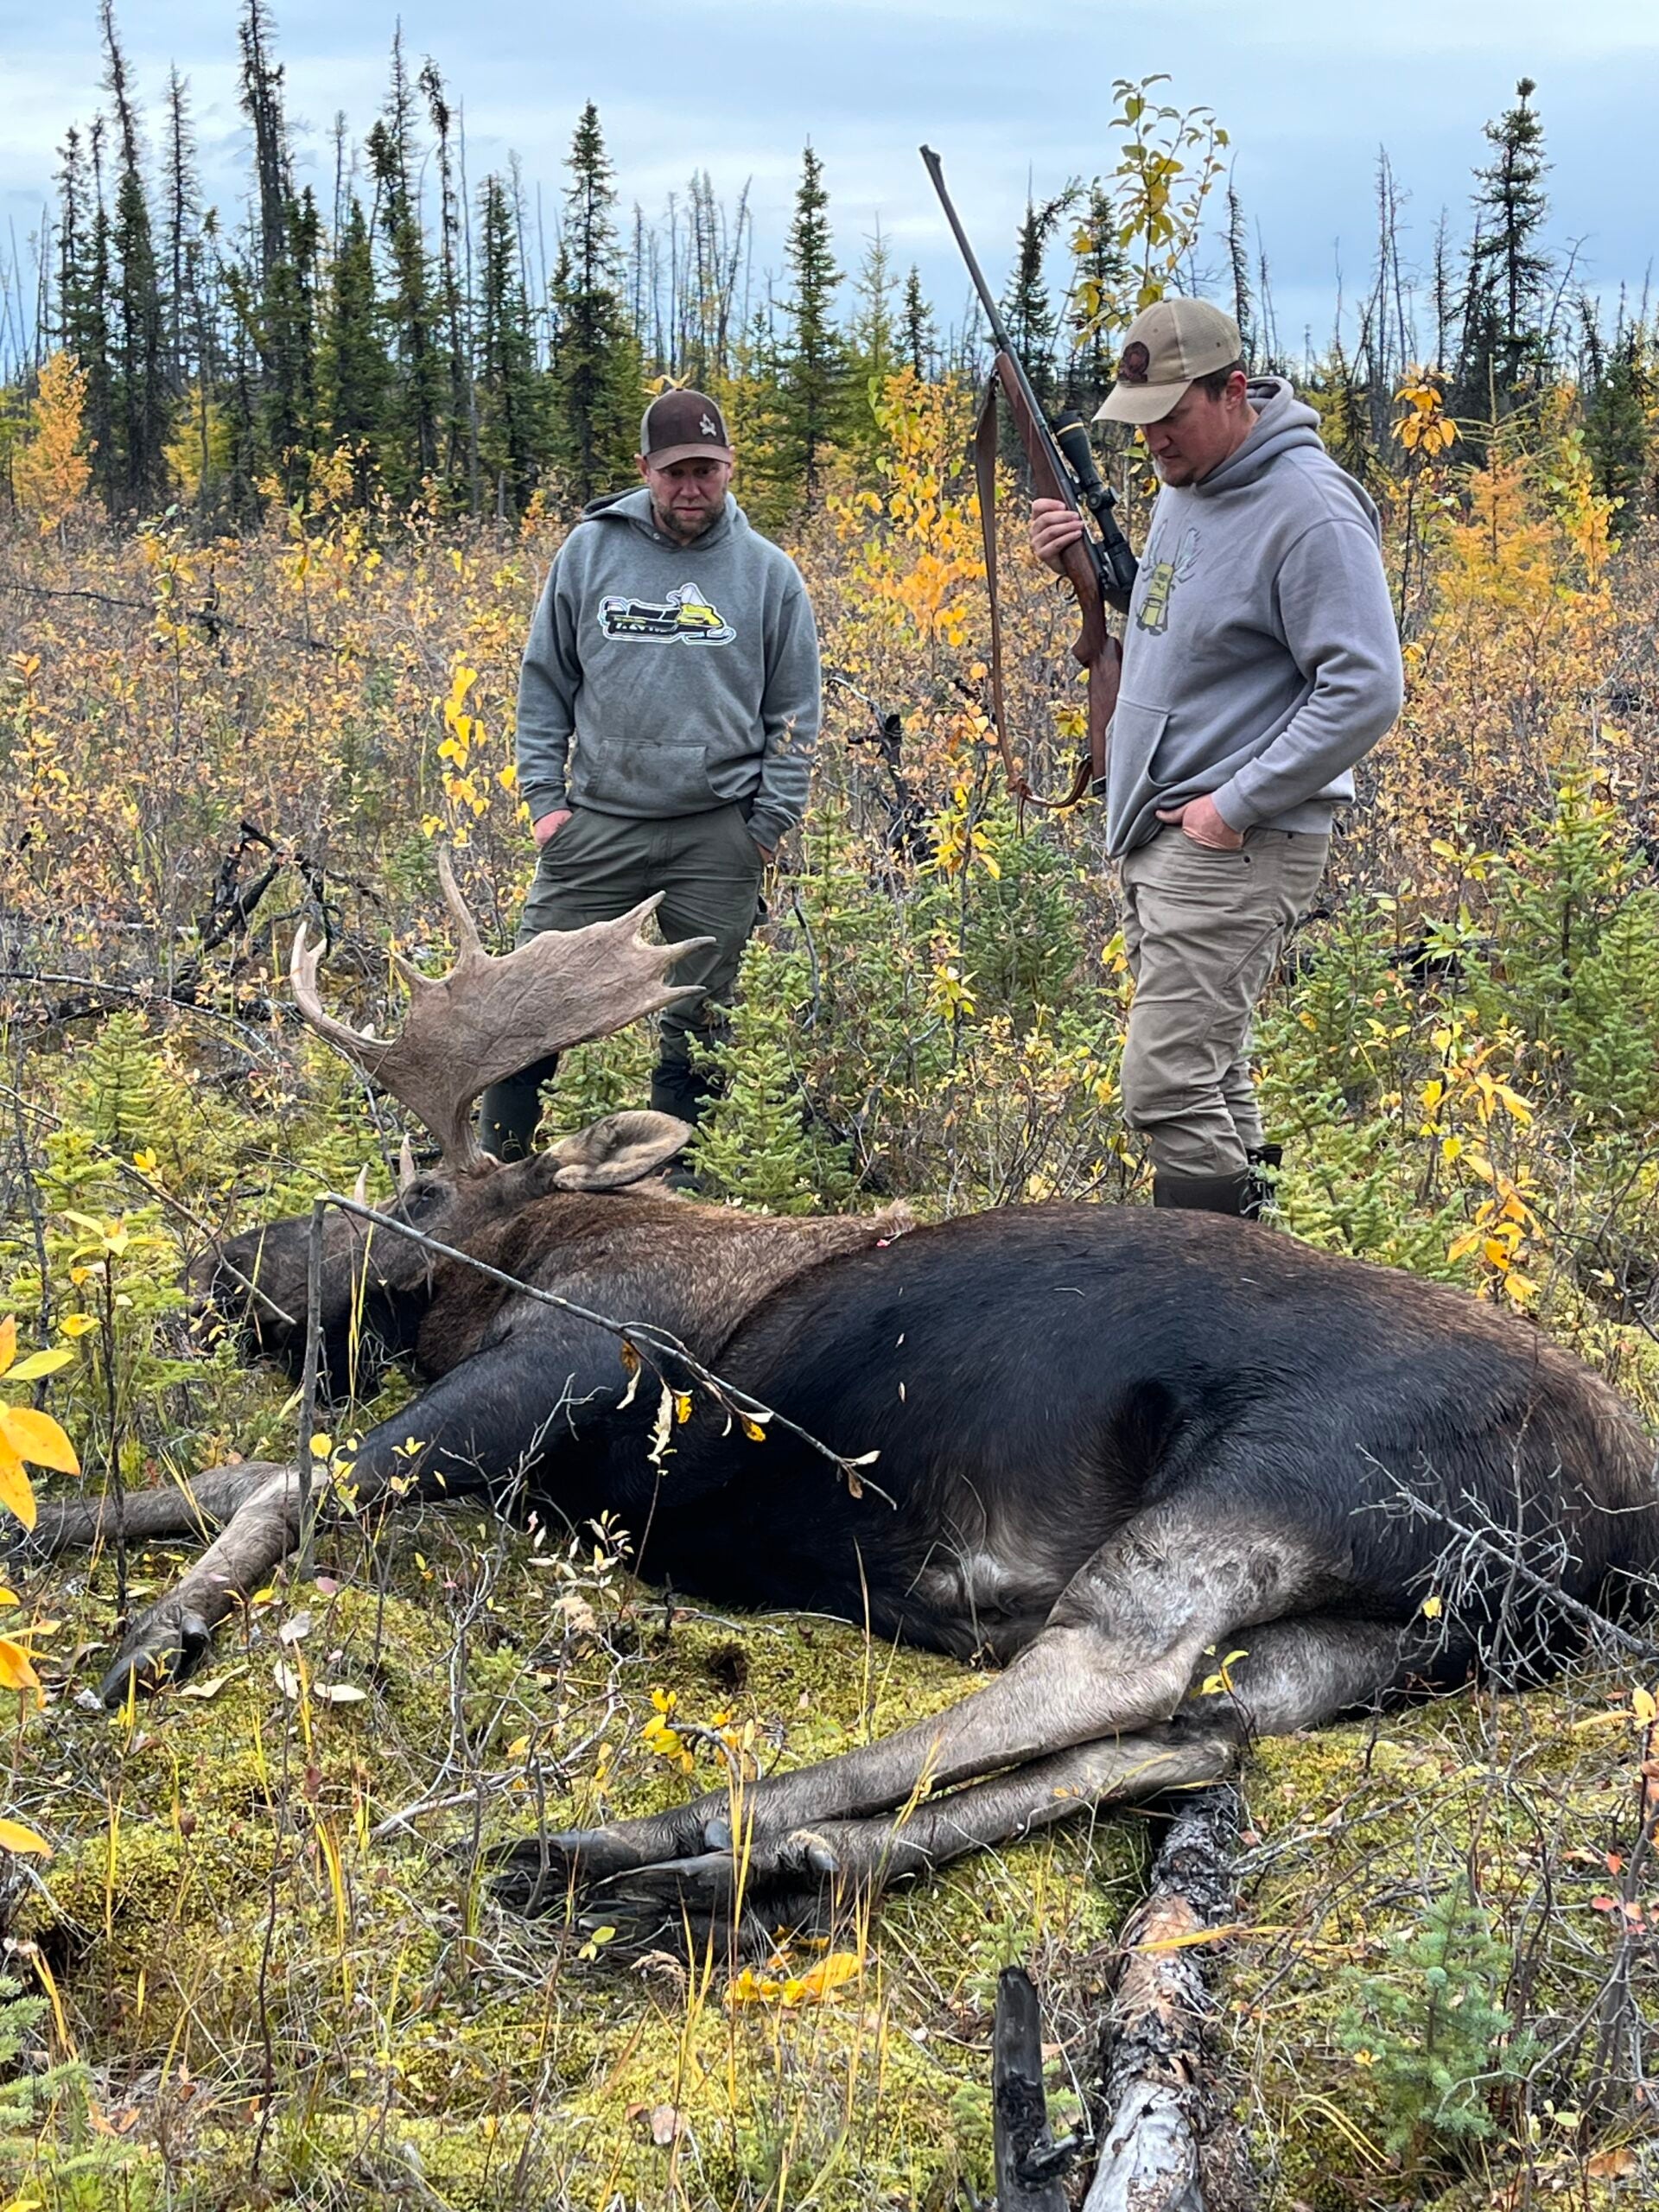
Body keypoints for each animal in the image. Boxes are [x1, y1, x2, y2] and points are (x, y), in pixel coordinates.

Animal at [29, 854, 1659, 1946]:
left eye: (415, 1184)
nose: (218, 1267)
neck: (535, 1261)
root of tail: (1619, 1536)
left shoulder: (560, 1373)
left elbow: (294, 1483)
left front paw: (144, 1641)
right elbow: (235, 1478)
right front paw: (47, 1525)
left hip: (1272, 1483)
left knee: (1111, 1676)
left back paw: (652, 1837)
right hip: (1394, 1635)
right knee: (1203, 1728)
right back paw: (762, 1866)